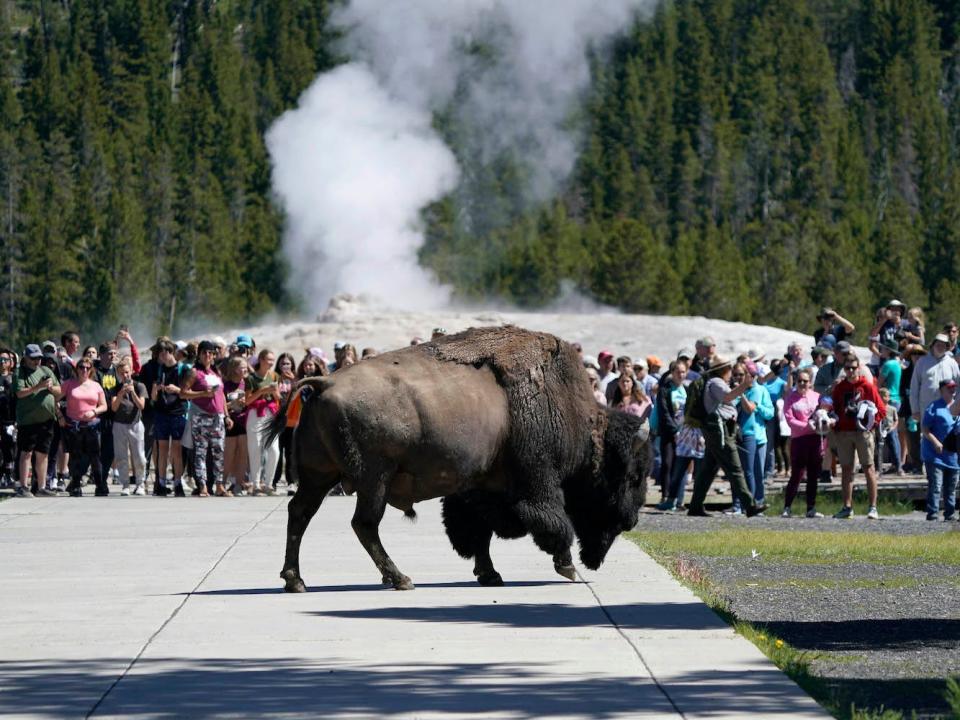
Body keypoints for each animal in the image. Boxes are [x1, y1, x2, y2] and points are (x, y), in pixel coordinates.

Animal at [266, 324, 648, 592]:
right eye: (631, 476)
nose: (631, 521)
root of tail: (325, 383)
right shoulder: (538, 480)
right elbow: (553, 522)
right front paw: (567, 568)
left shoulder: (479, 488)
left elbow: (478, 531)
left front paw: (490, 574)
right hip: (373, 480)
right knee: (363, 524)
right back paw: (400, 578)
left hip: (319, 476)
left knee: (300, 514)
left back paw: (295, 581)